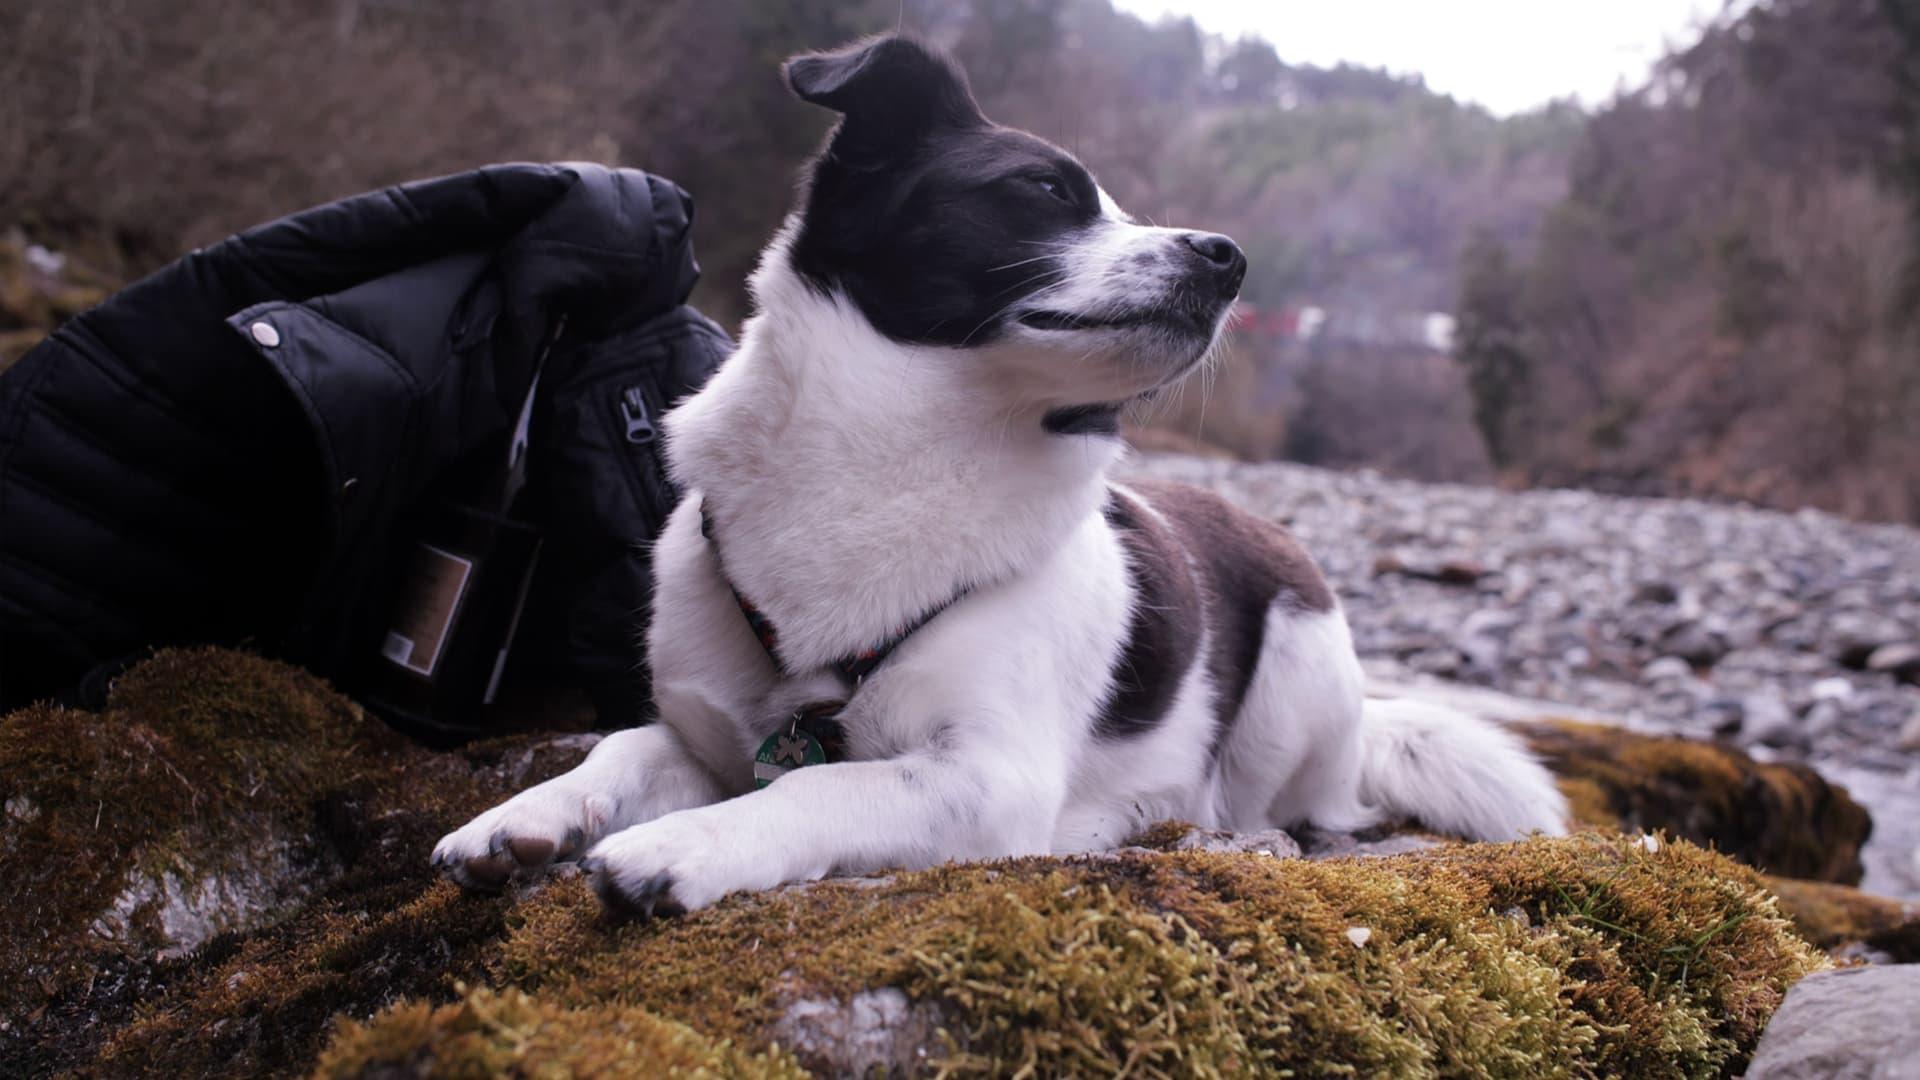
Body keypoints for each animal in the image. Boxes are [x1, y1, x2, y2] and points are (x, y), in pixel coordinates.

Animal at [432, 35, 1559, 907]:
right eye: (1045, 190)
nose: (1229, 257)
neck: (902, 459)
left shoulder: (986, 777)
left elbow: (811, 787)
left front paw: (687, 844)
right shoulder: (707, 740)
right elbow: (623, 747)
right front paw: (523, 816)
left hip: (1295, 676)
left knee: (1285, 805)